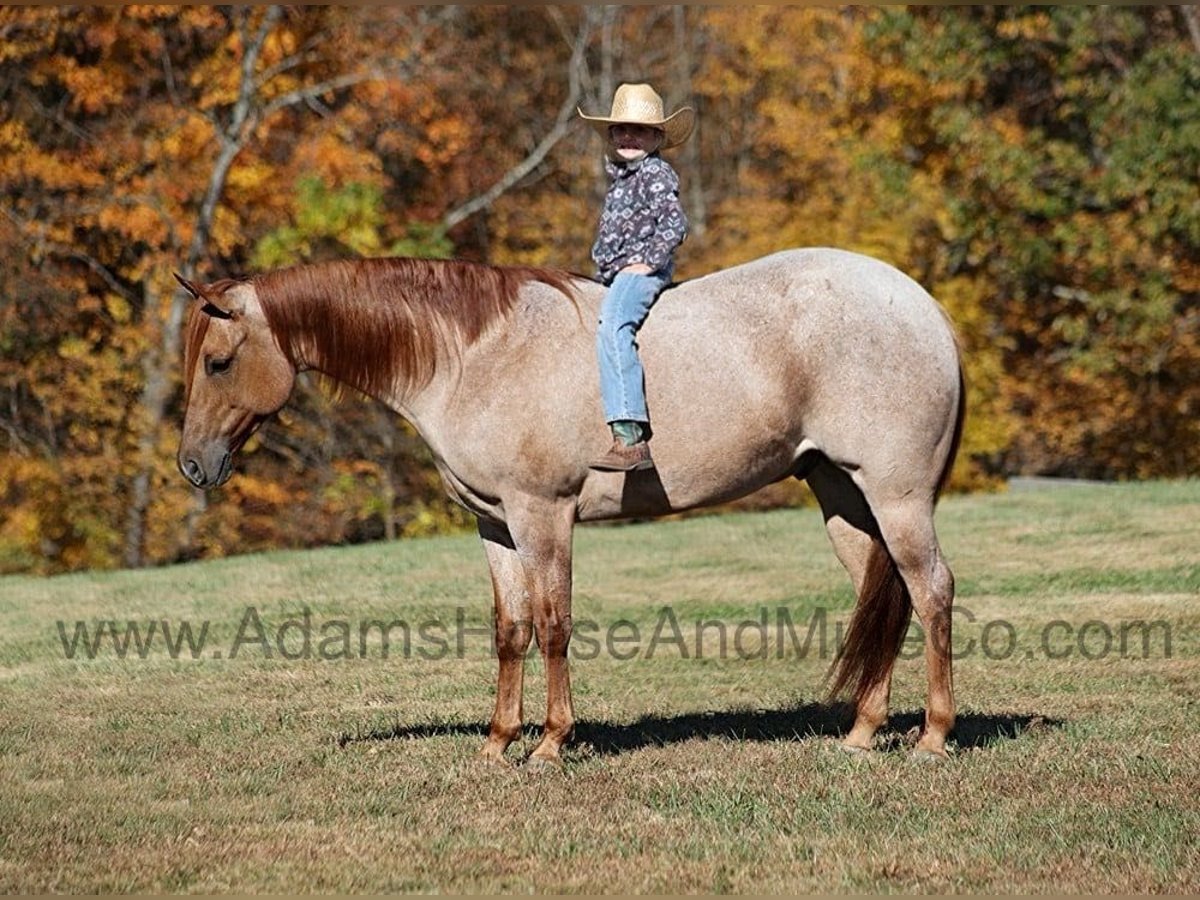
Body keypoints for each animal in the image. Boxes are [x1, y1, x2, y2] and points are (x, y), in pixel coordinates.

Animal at [175, 250, 964, 772]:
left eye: (218, 362)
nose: (192, 465)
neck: (473, 355)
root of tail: (924, 308)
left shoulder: (542, 515)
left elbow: (553, 624)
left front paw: (552, 743)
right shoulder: (495, 524)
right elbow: (511, 629)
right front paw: (498, 740)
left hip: (896, 496)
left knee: (931, 592)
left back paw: (933, 735)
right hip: (842, 495)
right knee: (882, 595)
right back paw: (862, 732)